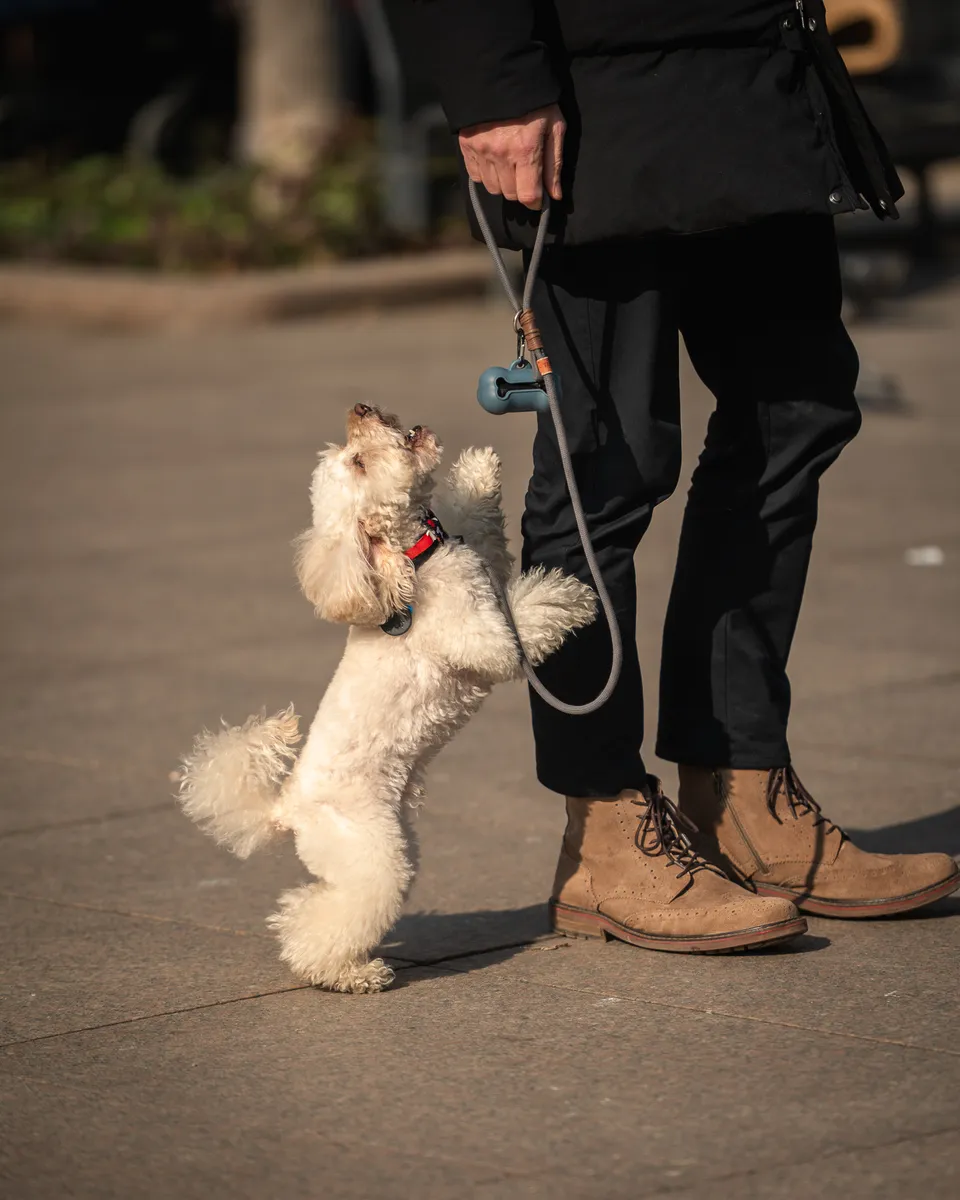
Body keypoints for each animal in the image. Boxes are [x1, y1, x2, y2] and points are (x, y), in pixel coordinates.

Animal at [177, 405, 595, 993]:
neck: (413, 560)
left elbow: (482, 532)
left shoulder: (475, 559)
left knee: (306, 909)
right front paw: (571, 594)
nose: (362, 408)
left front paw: (478, 474)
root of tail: (284, 808)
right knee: (325, 923)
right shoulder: (486, 641)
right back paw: (351, 975)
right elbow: (523, 614)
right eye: (358, 460)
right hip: (373, 854)